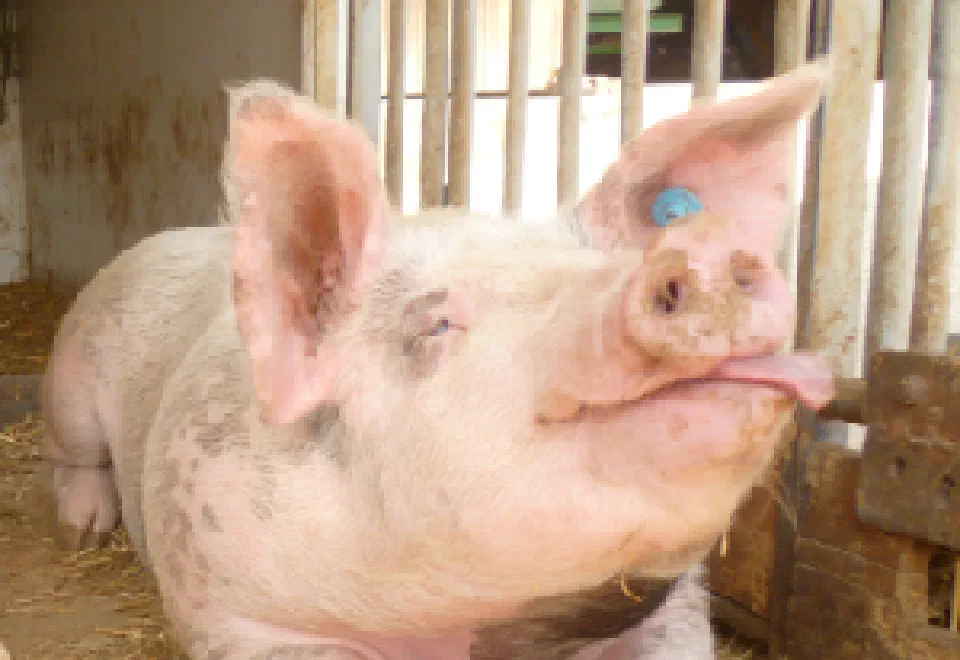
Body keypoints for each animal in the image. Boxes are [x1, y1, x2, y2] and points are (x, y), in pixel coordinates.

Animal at [42, 59, 835, 660]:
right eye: (436, 324)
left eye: (597, 267)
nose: (700, 250)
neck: (471, 635)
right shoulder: (226, 599)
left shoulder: (675, 604)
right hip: (70, 372)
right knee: (75, 454)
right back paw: (83, 529)